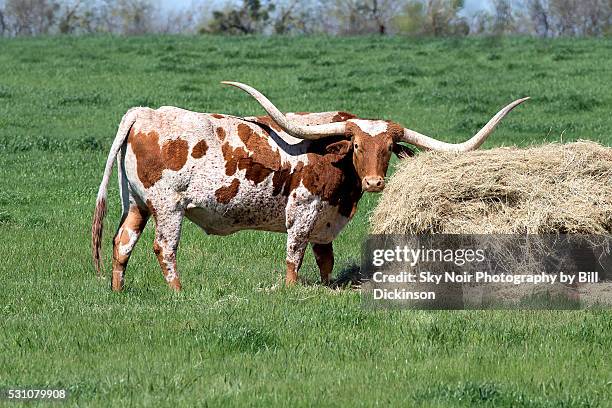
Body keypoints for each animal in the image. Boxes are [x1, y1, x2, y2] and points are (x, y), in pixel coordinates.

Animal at [89, 82, 524, 290]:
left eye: (387, 148)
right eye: (357, 146)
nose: (375, 181)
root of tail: (145, 112)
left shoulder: (327, 221)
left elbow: (325, 258)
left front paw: (329, 288)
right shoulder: (302, 211)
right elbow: (294, 254)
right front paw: (291, 289)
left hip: (137, 205)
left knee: (122, 243)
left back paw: (118, 291)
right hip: (168, 206)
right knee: (165, 248)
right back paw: (179, 292)